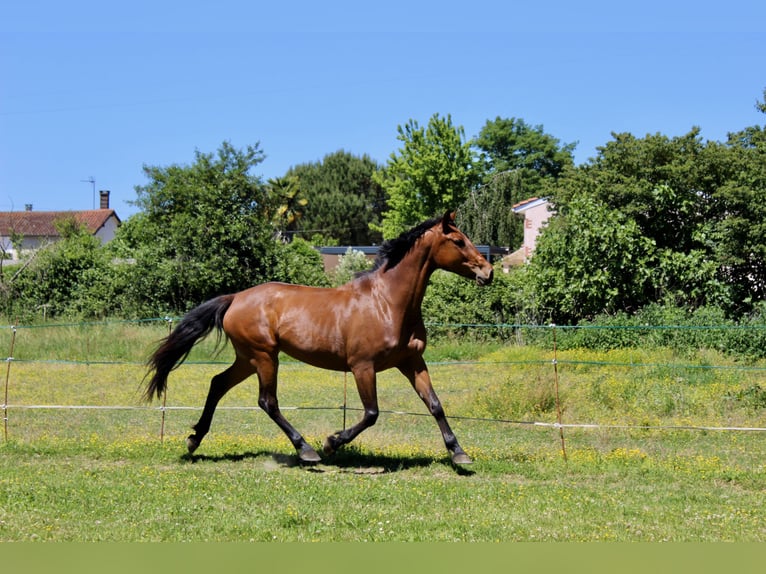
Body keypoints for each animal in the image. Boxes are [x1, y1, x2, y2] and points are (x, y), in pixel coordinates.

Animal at [144, 211, 494, 465]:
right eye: (459, 240)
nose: (487, 272)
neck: (387, 303)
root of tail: (235, 298)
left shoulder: (412, 361)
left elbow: (435, 404)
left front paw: (459, 453)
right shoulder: (362, 366)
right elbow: (371, 413)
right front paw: (331, 443)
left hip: (247, 358)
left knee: (218, 384)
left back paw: (194, 440)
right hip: (264, 357)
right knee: (267, 401)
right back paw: (306, 450)